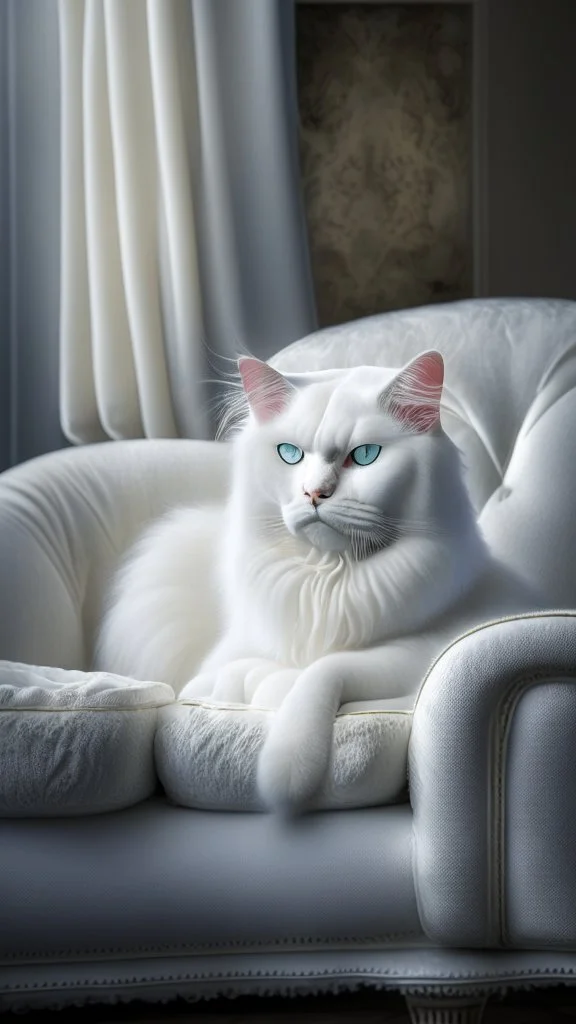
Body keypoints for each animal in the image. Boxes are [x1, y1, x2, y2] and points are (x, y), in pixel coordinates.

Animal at [95, 354, 537, 815]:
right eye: (290, 455)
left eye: (365, 456)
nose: (313, 493)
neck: (326, 581)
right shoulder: (210, 669)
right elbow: (218, 678)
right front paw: (255, 683)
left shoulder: (421, 655)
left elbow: (319, 674)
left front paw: (286, 767)